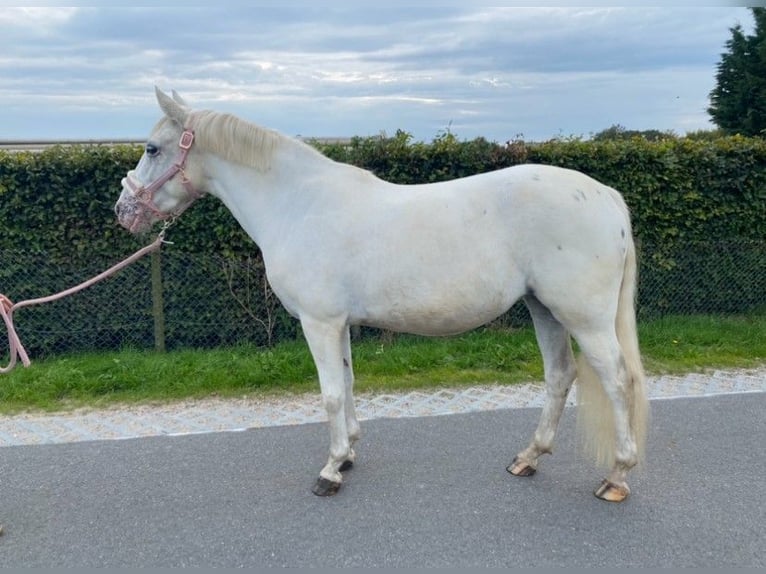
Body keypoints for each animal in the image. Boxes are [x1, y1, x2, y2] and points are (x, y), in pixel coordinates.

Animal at [117, 86, 652, 504]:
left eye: (152, 148)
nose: (123, 210)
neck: (298, 204)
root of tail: (606, 195)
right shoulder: (339, 324)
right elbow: (349, 384)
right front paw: (349, 454)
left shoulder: (319, 322)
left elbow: (331, 393)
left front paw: (329, 472)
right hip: (545, 309)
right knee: (560, 376)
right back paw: (529, 458)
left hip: (584, 318)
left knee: (617, 379)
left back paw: (616, 477)